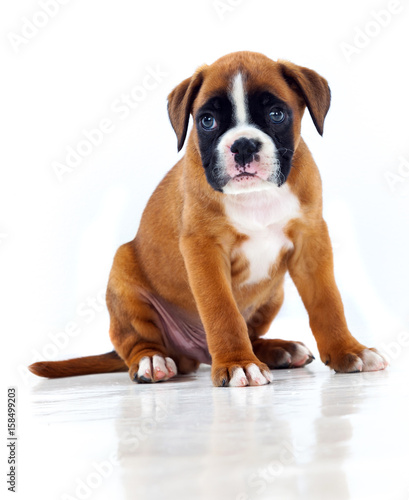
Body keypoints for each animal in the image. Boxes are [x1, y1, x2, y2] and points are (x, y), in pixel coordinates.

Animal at [30, 51, 388, 386]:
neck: (255, 197)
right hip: (123, 272)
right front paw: (237, 363)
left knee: (253, 334)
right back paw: (152, 361)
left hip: (274, 294)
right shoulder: (204, 250)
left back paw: (277, 350)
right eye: (207, 121)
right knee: (134, 342)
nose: (243, 146)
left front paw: (348, 351)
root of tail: (195, 355)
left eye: (276, 114)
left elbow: (328, 302)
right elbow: (222, 312)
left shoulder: (311, 240)